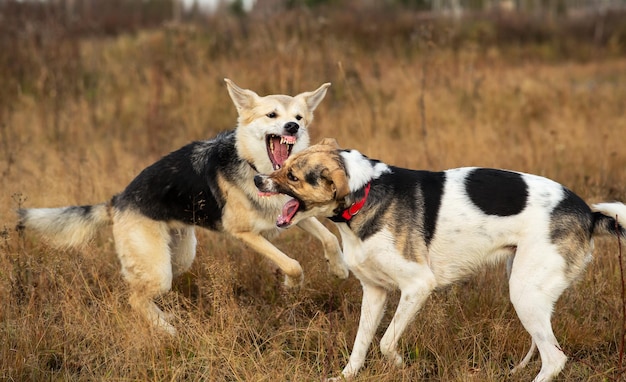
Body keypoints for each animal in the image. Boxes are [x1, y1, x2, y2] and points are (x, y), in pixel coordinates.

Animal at [17, 80, 348, 334]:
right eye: (272, 115)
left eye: (299, 117)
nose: (292, 127)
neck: (255, 165)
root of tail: (117, 200)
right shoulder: (245, 233)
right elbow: (292, 263)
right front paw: (293, 285)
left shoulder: (292, 213)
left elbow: (331, 238)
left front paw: (339, 268)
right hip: (160, 268)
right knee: (134, 299)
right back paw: (166, 330)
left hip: (179, 258)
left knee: (138, 293)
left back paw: (164, 319)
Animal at [254, 140, 624, 382]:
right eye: (283, 165)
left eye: (293, 176)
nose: (258, 179)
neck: (365, 193)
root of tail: (589, 213)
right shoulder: (374, 292)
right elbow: (361, 343)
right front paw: (347, 376)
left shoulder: (418, 286)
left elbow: (386, 342)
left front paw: (400, 365)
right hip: (525, 287)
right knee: (542, 344)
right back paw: (517, 369)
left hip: (525, 291)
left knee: (555, 358)